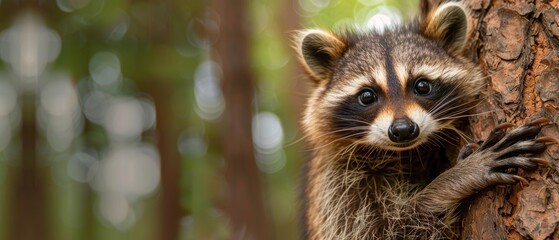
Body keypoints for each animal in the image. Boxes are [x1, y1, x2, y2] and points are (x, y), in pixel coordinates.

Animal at [296, 1, 552, 240]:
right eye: (367, 96)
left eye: (422, 86)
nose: (403, 129)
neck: (404, 152)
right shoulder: (336, 183)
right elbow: (387, 230)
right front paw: (454, 180)